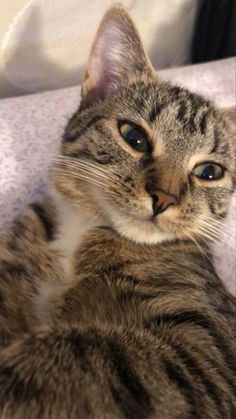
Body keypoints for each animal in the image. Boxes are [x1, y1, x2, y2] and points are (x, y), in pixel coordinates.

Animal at [0, 4, 236, 419]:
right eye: (134, 137)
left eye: (209, 172)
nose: (164, 197)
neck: (84, 229)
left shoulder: (207, 348)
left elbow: (96, 351)